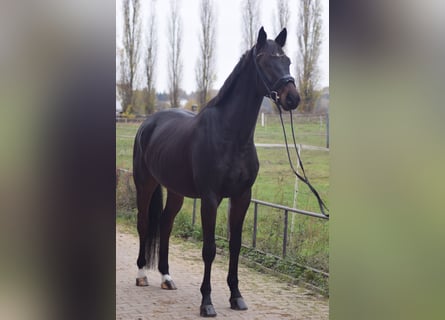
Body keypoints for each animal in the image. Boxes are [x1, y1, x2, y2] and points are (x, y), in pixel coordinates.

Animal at [131, 28, 298, 318]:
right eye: (266, 61)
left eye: (287, 60)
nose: (293, 98)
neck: (231, 135)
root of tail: (147, 123)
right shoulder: (210, 199)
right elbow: (209, 249)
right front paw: (206, 302)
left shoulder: (242, 197)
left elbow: (235, 246)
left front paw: (236, 297)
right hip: (145, 183)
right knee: (143, 223)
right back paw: (142, 275)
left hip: (175, 191)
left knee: (165, 224)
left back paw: (166, 277)